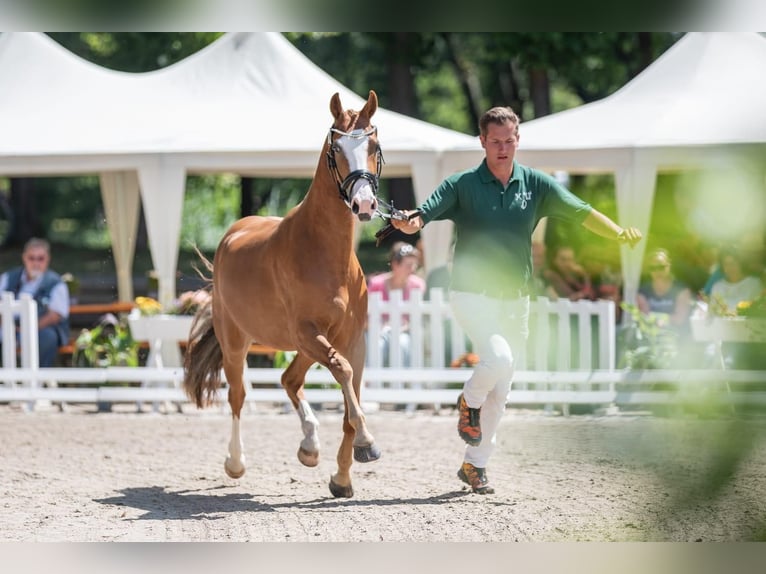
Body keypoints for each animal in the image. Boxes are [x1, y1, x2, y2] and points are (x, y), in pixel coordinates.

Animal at [181, 90, 384, 500]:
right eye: (336, 148)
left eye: (373, 145)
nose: (365, 204)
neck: (325, 255)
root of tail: (232, 234)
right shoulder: (308, 332)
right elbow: (343, 373)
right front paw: (367, 443)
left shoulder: (351, 339)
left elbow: (349, 395)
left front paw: (343, 476)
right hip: (238, 341)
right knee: (238, 395)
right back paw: (236, 463)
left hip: (306, 345)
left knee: (290, 379)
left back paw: (309, 446)